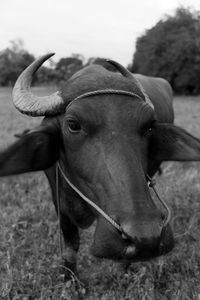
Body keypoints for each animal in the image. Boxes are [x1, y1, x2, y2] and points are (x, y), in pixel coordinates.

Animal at [0, 52, 200, 278]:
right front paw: (70, 278)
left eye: (149, 126)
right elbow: (70, 247)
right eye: (73, 125)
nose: (146, 236)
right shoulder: (58, 200)